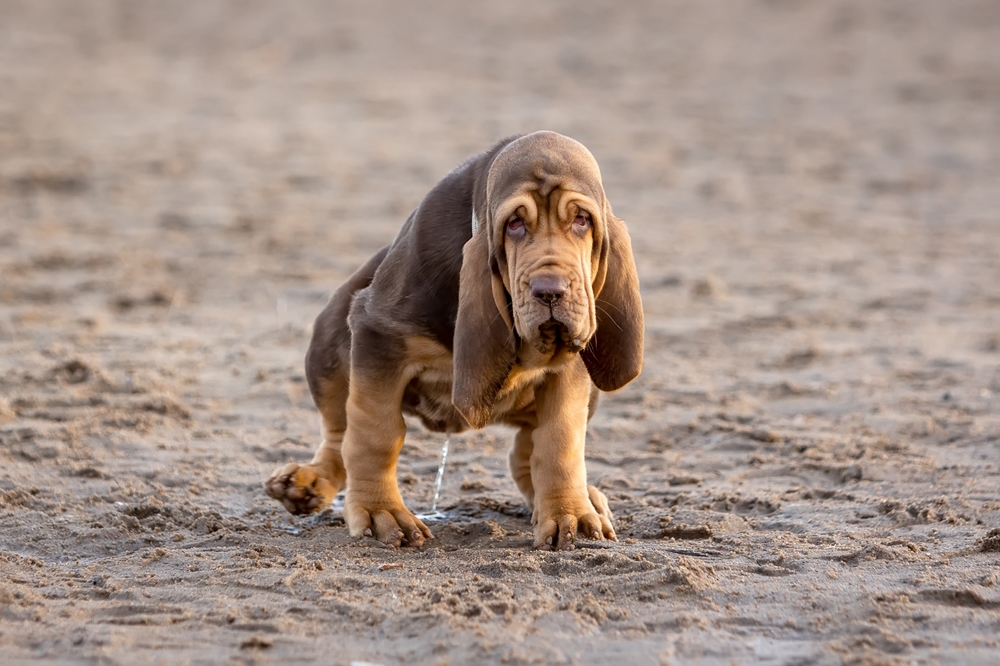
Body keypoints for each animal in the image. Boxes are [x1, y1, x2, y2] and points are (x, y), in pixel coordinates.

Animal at [264, 131, 640, 548]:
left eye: (581, 219)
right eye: (514, 224)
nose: (550, 291)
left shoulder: (571, 368)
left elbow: (559, 441)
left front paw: (569, 513)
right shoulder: (378, 335)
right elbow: (374, 433)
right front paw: (381, 512)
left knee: (526, 449)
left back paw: (583, 497)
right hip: (329, 339)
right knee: (338, 432)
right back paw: (307, 482)